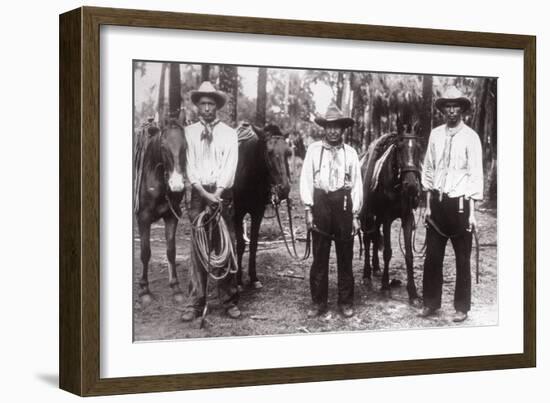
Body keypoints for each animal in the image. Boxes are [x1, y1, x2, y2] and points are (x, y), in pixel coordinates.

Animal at [134, 121, 188, 304]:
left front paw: (176, 288)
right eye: (163, 147)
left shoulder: (171, 216)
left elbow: (171, 251)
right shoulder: (143, 219)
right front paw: (144, 290)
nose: (177, 184)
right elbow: (145, 252)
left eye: (185, 146)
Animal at [233, 123, 294, 290]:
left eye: (288, 152)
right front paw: (238, 281)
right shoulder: (237, 213)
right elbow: (241, 245)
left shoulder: (257, 213)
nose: (284, 189)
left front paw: (254, 278)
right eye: (269, 152)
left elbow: (253, 244)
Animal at [360, 126, 424, 306]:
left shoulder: (407, 218)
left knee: (375, 238)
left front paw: (413, 293)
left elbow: (409, 254)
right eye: (399, 149)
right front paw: (385, 286)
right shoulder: (388, 218)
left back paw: (376, 268)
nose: (411, 185)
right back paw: (367, 274)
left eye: (419, 149)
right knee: (367, 239)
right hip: (369, 215)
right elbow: (388, 252)